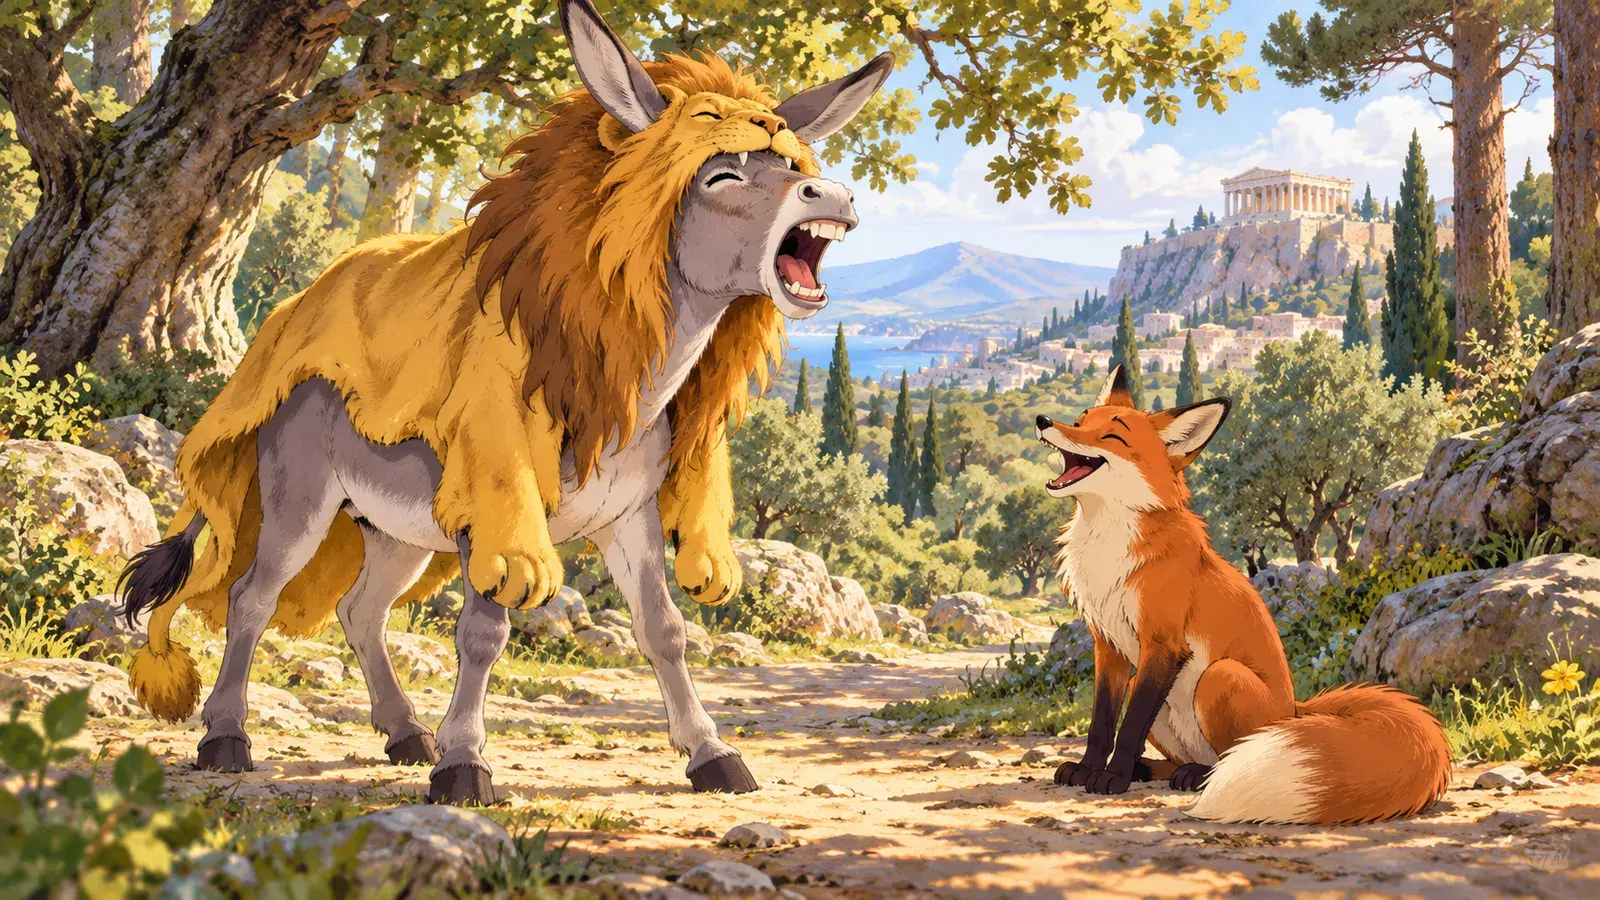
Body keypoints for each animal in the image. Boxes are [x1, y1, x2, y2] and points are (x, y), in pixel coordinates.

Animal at [118, 0, 891, 802]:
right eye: (723, 172)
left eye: (792, 165)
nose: (832, 194)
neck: (613, 374)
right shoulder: (493, 509)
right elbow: (484, 632)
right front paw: (465, 765)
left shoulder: (627, 515)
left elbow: (664, 629)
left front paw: (712, 755)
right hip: (300, 495)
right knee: (252, 596)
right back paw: (227, 739)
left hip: (393, 525)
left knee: (359, 610)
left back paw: (405, 735)